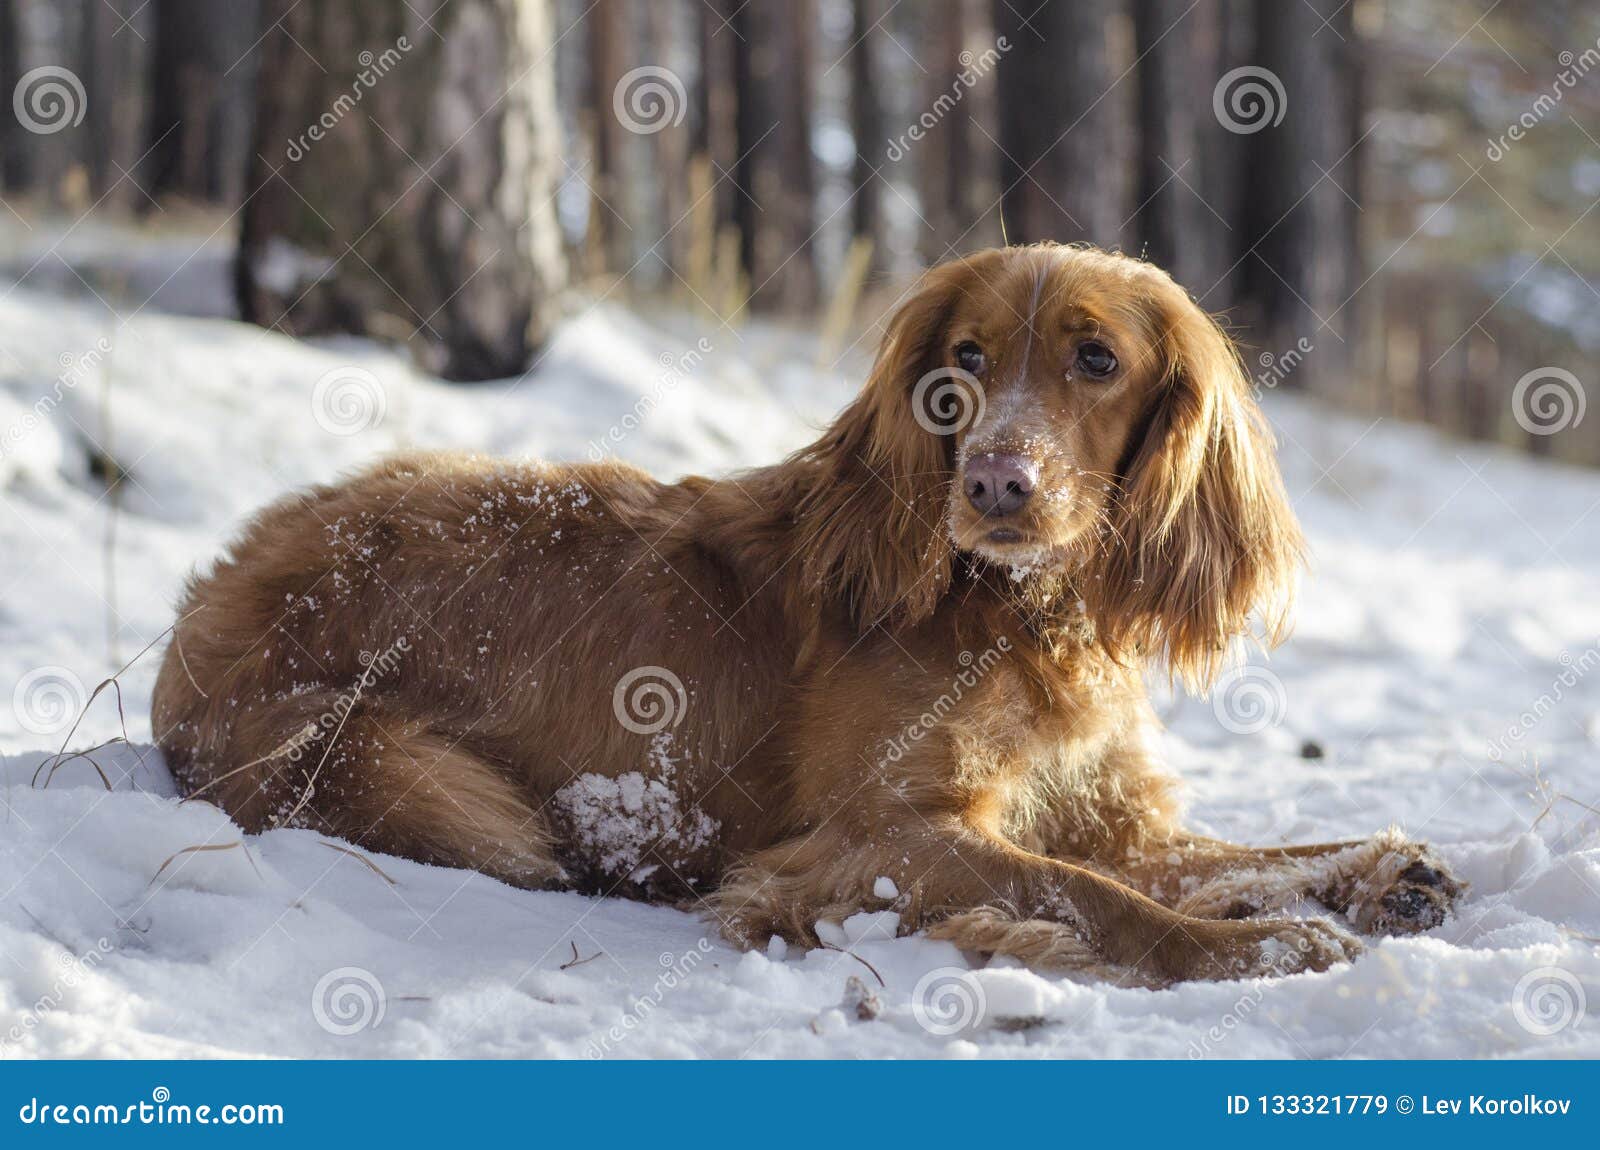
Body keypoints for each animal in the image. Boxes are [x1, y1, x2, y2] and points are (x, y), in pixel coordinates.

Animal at [150, 243, 1465, 978]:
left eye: (1097, 360)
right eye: (964, 362)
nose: (996, 483)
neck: (1020, 615)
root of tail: (204, 602)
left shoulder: (1097, 811)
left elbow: (1234, 854)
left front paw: (1376, 867)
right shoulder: (862, 841)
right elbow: (1094, 894)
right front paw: (1251, 947)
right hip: (400, 763)